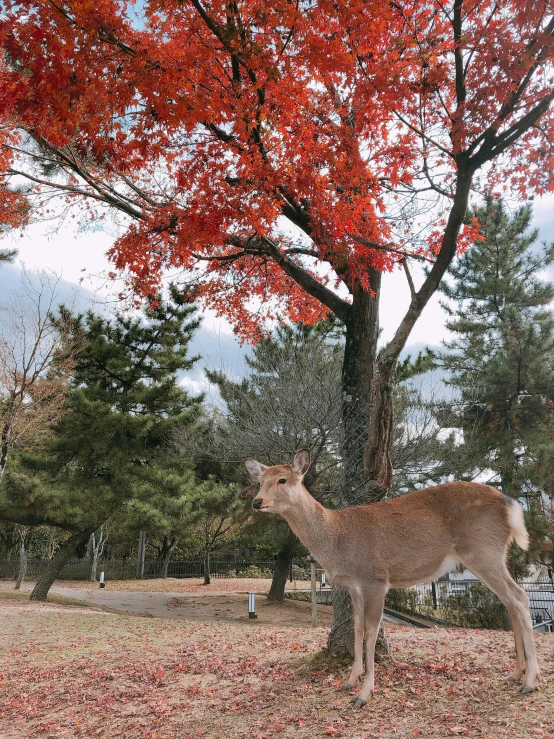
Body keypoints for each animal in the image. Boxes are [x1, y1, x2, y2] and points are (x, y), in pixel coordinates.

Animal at [246, 448, 540, 708]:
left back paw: (531, 681)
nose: (256, 501)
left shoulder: (375, 578)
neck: (336, 537)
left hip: (483, 551)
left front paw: (364, 694)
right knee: (510, 602)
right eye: (260, 481)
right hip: (489, 555)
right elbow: (357, 628)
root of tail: (511, 505)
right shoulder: (354, 586)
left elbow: (371, 632)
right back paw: (516, 674)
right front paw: (349, 681)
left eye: (282, 479)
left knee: (520, 597)